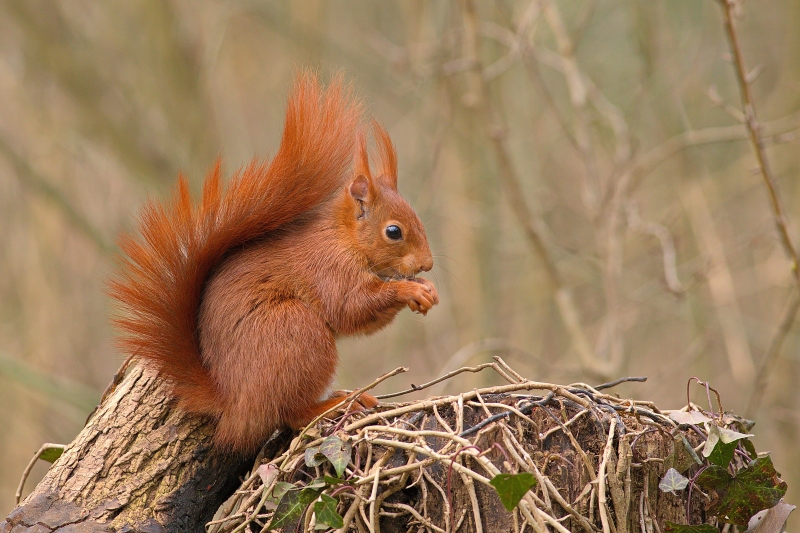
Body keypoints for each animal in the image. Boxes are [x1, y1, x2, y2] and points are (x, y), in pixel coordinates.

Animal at [108, 71, 438, 454]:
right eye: (393, 232)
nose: (428, 265)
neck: (343, 237)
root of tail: (234, 405)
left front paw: (427, 289)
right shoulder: (328, 267)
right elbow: (351, 307)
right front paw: (410, 290)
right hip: (296, 332)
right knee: (291, 413)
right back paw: (339, 402)